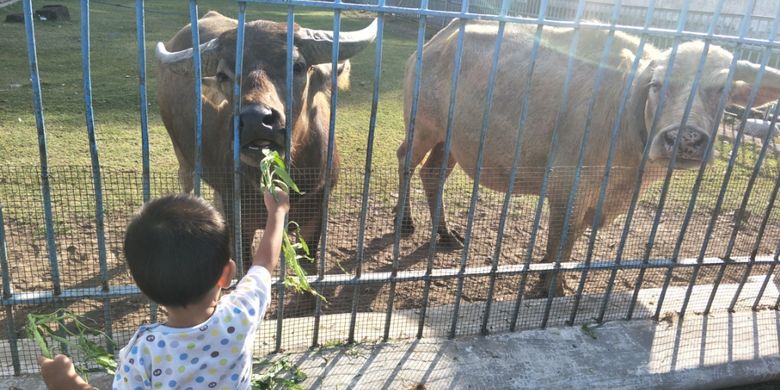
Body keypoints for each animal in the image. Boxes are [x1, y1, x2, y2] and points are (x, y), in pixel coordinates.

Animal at [157, 10, 376, 266]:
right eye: (222, 75)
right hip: (182, 155)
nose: (255, 119)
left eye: (298, 66)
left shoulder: (316, 216)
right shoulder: (239, 220)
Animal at [396, 18, 780, 292]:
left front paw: (553, 279)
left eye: (723, 90)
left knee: (432, 175)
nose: (685, 137)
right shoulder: (567, 186)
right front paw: (549, 287)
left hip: (452, 139)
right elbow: (560, 239)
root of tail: (439, 38)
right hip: (423, 126)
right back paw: (405, 222)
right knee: (405, 161)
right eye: (657, 85)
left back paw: (446, 234)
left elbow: (569, 244)